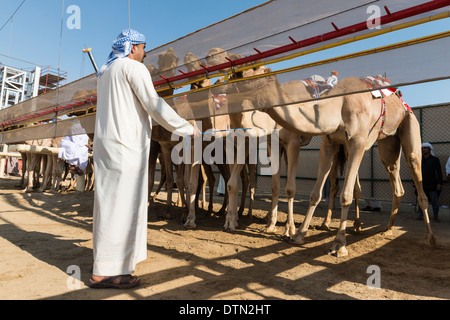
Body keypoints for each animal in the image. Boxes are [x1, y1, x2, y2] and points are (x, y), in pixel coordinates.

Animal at [216, 68, 434, 258]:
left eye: (239, 74)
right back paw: (380, 228)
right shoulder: (323, 143)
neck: (340, 105)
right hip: (384, 143)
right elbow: (309, 192)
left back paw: (427, 237)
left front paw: (336, 243)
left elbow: (309, 190)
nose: (219, 89)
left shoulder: (348, 142)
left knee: (413, 172)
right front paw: (294, 233)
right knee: (392, 178)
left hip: (406, 127)